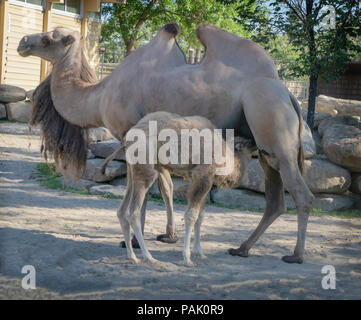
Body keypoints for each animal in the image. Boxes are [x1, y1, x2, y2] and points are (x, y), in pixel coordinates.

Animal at [116, 111, 255, 266]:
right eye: (246, 144)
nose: (255, 143)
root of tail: (128, 137)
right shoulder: (203, 173)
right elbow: (191, 215)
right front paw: (187, 258)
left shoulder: (199, 177)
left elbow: (201, 215)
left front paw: (200, 252)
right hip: (145, 170)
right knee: (133, 213)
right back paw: (148, 257)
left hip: (131, 170)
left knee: (121, 211)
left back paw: (132, 256)